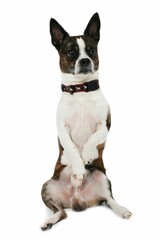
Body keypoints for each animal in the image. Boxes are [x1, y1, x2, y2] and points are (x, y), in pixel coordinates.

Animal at [41, 13, 131, 231]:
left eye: (91, 50)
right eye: (71, 52)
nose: (85, 60)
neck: (81, 89)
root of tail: (77, 200)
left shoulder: (105, 123)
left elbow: (94, 137)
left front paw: (88, 154)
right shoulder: (62, 128)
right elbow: (73, 148)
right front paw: (79, 167)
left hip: (102, 177)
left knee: (110, 200)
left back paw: (122, 209)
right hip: (47, 186)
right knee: (61, 212)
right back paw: (49, 220)